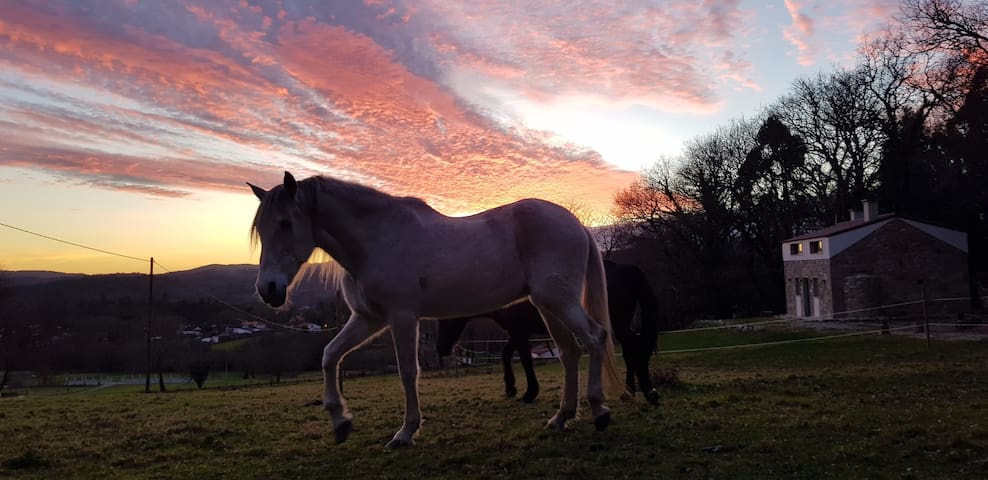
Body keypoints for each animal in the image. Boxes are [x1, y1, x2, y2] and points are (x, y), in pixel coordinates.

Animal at [247, 172, 620, 450]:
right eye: (262, 228)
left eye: (285, 223)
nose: (268, 290)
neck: (376, 240)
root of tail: (576, 224)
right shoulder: (368, 319)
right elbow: (329, 356)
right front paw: (341, 422)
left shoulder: (402, 318)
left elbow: (408, 372)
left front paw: (405, 433)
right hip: (547, 306)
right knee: (569, 352)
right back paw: (562, 417)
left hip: (560, 301)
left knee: (595, 338)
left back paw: (599, 410)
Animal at [436, 258, 660, 404]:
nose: (441, 348)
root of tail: (626, 268)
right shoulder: (518, 332)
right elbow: (506, 355)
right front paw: (510, 388)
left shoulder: (519, 332)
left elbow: (525, 360)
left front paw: (529, 393)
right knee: (632, 349)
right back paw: (631, 390)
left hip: (617, 324)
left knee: (634, 346)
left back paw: (645, 390)